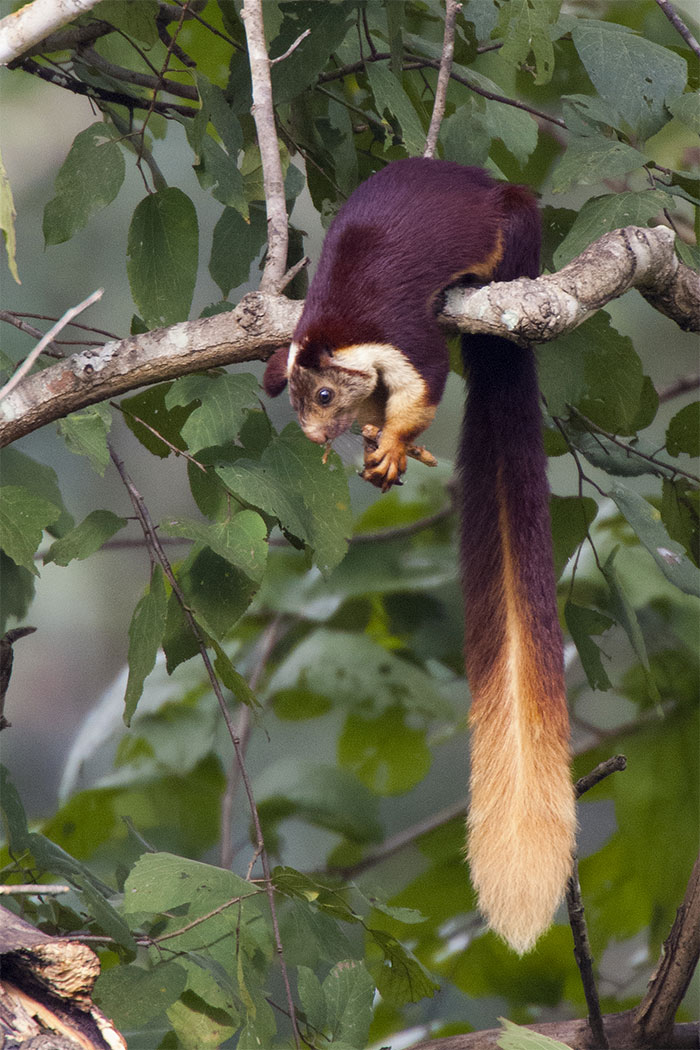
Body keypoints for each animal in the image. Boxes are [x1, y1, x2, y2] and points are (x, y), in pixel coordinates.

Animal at [263, 157, 576, 954]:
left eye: (323, 395)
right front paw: (380, 443)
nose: (318, 437)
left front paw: (396, 442)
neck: (336, 326)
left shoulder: (403, 341)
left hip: (515, 226)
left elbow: (426, 382)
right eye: (299, 407)